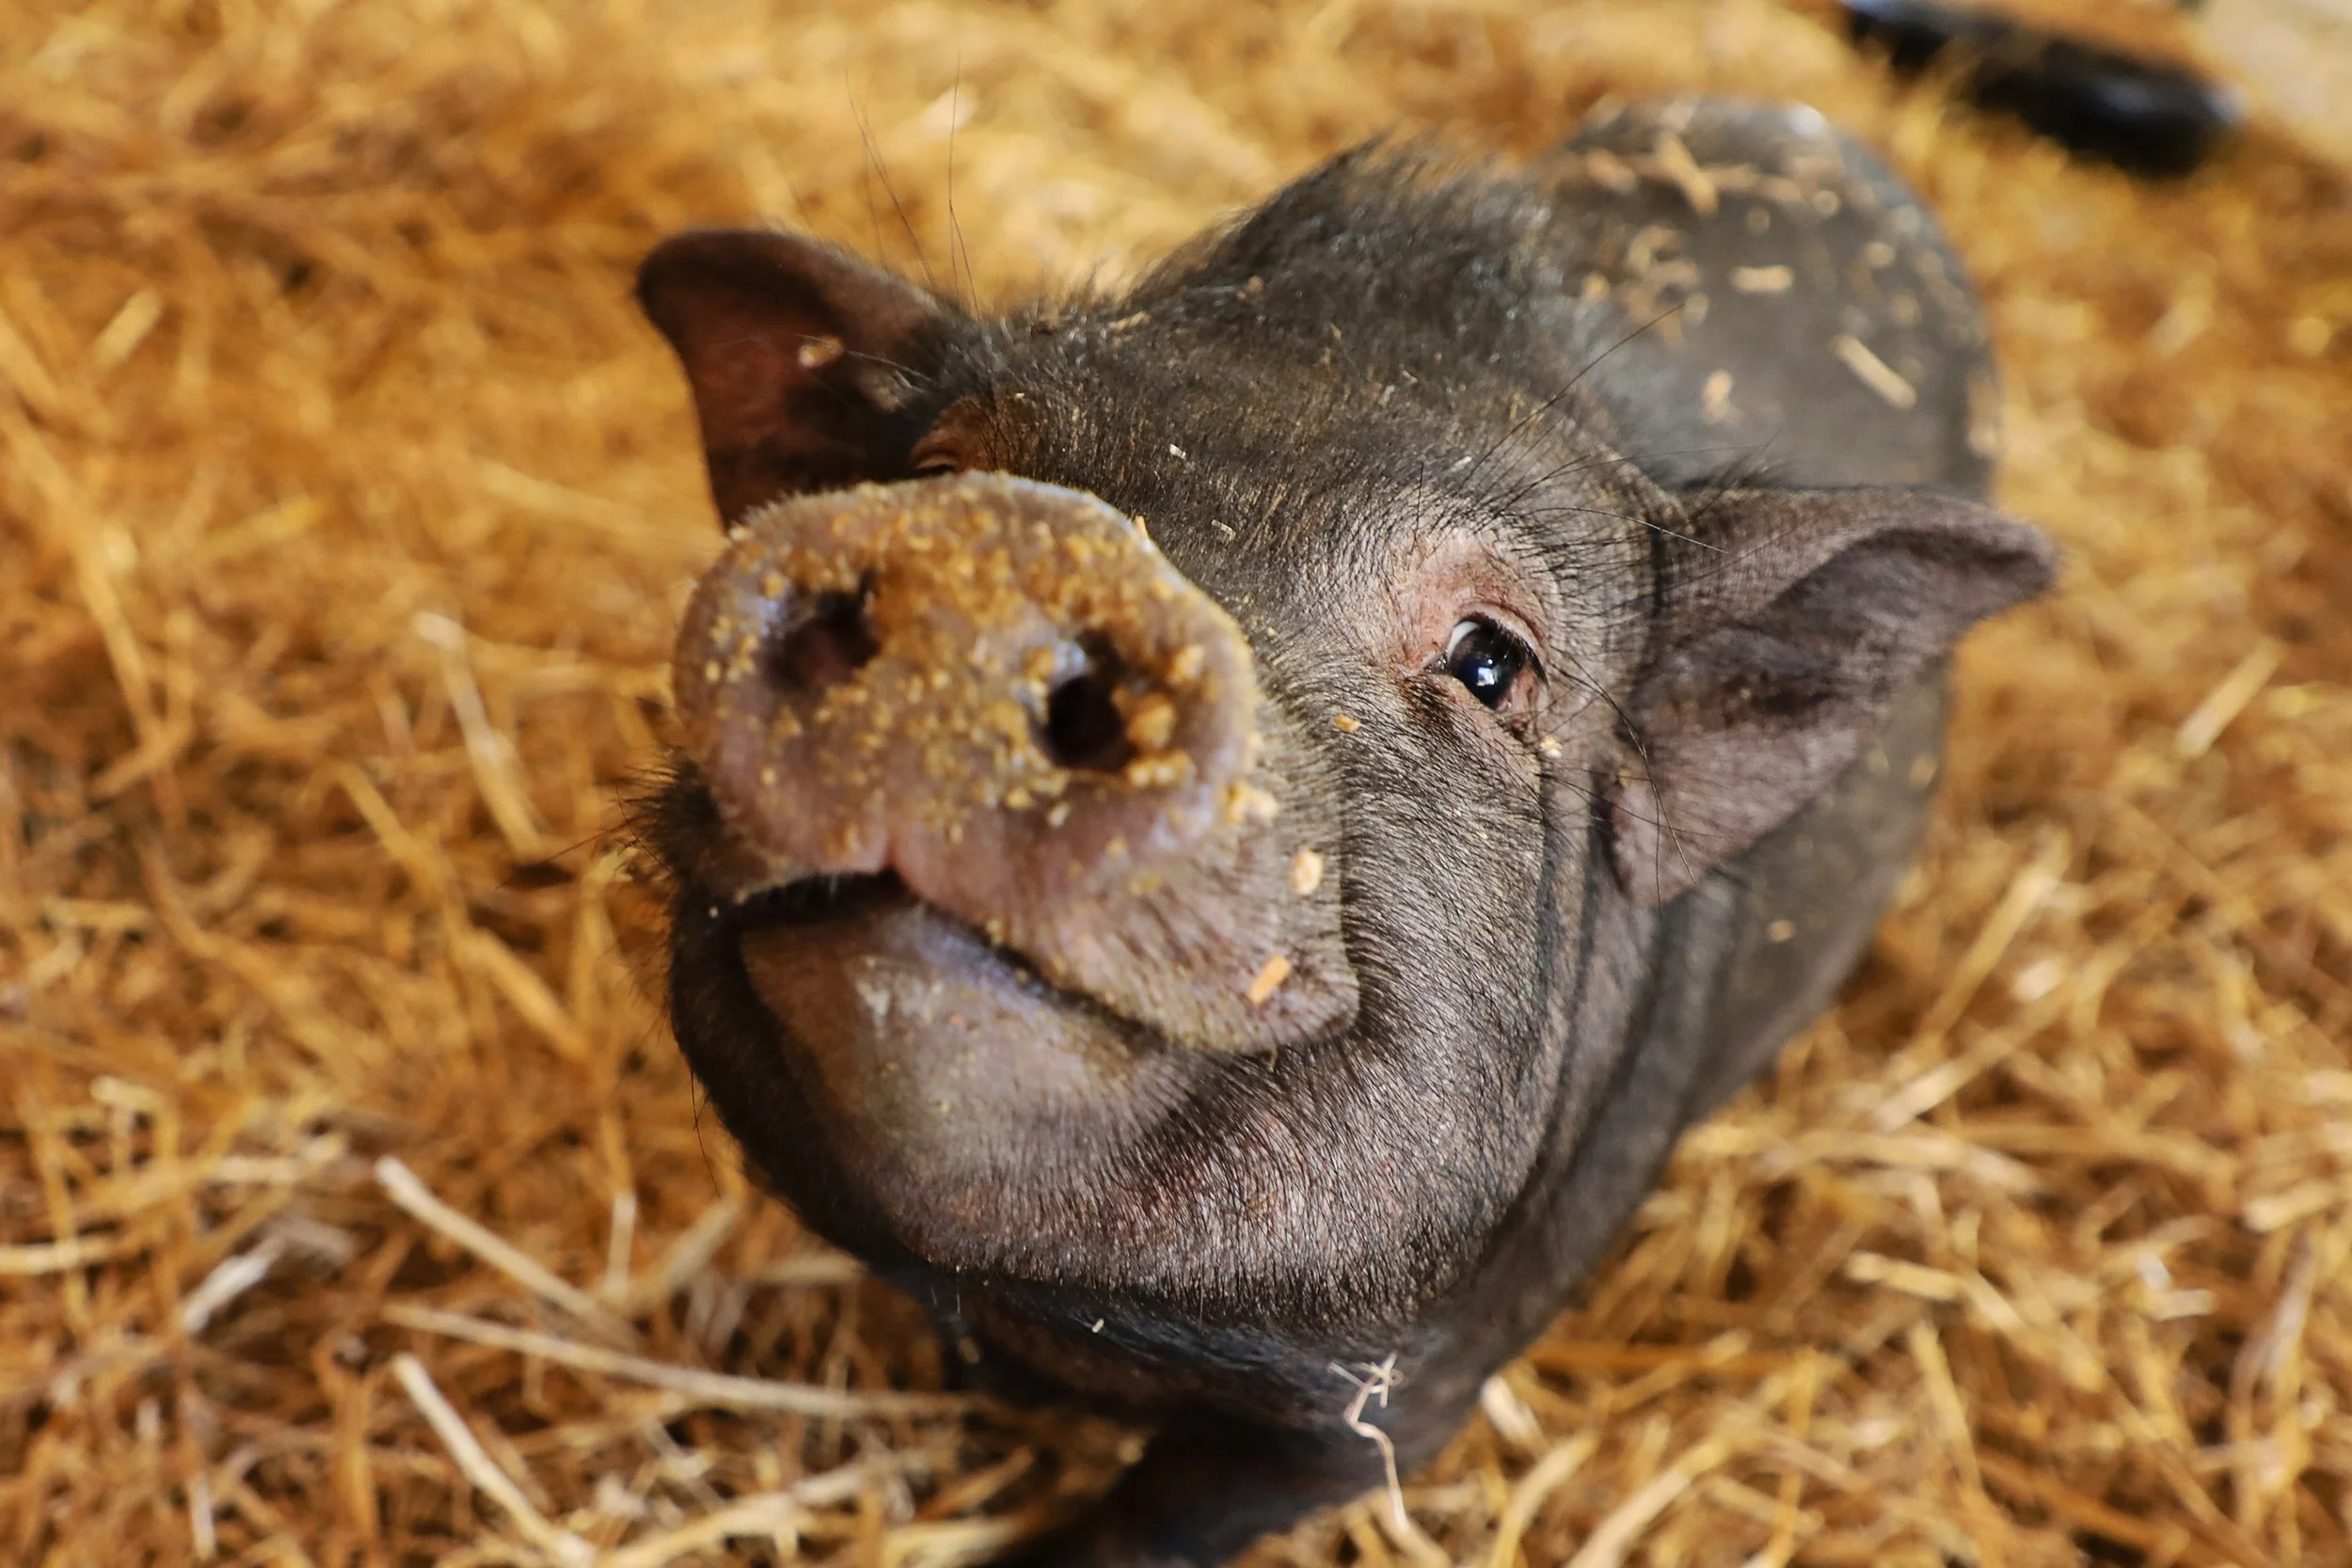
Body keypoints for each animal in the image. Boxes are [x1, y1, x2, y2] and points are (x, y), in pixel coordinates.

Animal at [628, 98, 2057, 1567]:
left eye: (1490, 661)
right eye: (941, 470)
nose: (1014, 551)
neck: (1061, 1316)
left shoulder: (1392, 1409)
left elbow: (1166, 1518)